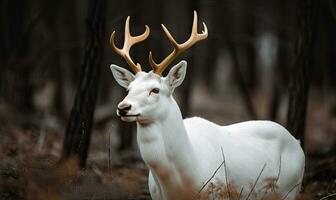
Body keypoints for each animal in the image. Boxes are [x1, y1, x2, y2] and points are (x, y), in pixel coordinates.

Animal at [109, 11, 306, 200]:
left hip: (290, 188)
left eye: (155, 90)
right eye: (128, 89)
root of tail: (297, 143)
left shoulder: (216, 191)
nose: (123, 107)